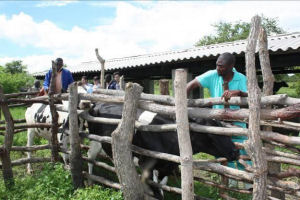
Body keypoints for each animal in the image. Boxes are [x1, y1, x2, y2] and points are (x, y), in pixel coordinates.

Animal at [86, 102, 239, 199]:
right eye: (212, 133)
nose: (236, 152)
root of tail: (97, 104)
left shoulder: (167, 166)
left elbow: (162, 186)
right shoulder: (146, 163)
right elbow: (156, 191)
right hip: (95, 140)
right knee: (90, 157)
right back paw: (91, 182)